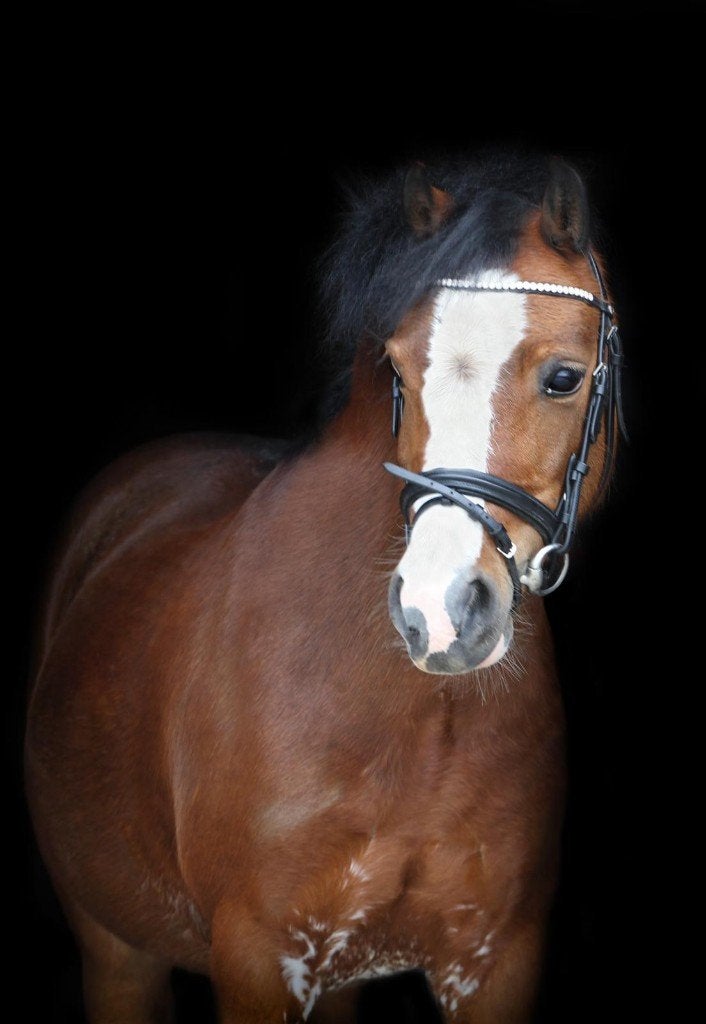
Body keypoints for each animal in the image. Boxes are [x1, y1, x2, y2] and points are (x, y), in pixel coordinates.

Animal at [25, 151, 626, 1023]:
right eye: (399, 372)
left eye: (564, 378)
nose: (439, 614)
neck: (411, 721)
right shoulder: (257, 963)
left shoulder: (496, 962)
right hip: (117, 955)